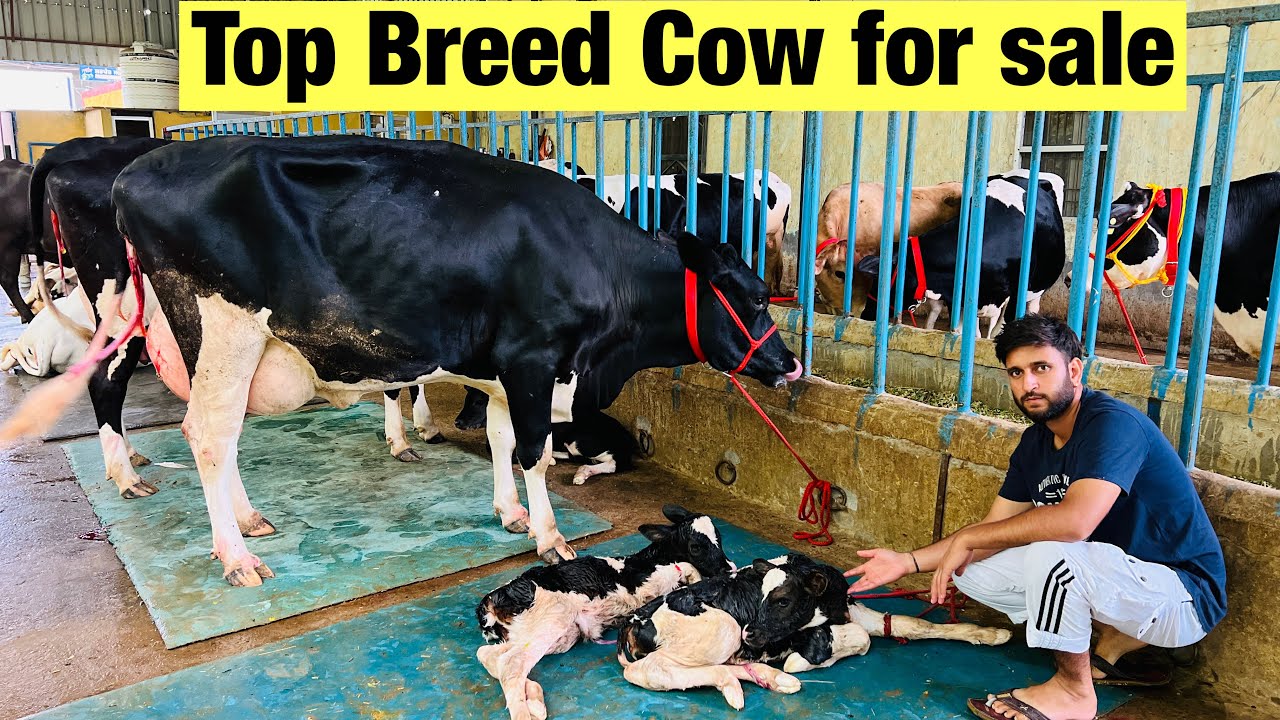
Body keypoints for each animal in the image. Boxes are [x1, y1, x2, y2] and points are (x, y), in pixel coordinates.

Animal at [6, 135, 803, 588]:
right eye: (750, 295)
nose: (790, 364)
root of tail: (132, 169)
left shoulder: (504, 368)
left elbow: (502, 440)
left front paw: (510, 512)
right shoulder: (536, 358)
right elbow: (536, 451)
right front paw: (548, 536)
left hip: (166, 326)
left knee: (205, 429)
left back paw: (239, 516)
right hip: (219, 324)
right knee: (203, 430)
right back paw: (231, 553)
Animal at [475, 504, 734, 720]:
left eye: (719, 538)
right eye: (695, 546)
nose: (728, 568)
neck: (652, 558)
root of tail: (492, 598)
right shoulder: (647, 583)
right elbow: (688, 569)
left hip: (552, 636)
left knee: (491, 655)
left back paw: (535, 699)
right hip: (552, 619)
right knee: (511, 664)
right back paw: (525, 711)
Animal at [616, 552, 1012, 710]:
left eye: (783, 601)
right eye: (761, 597)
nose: (752, 635)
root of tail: (634, 622)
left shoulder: (852, 610)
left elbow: (914, 624)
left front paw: (991, 634)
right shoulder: (811, 634)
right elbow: (862, 641)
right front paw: (804, 662)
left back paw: (771, 679)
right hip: (723, 628)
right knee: (649, 671)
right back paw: (747, 683)